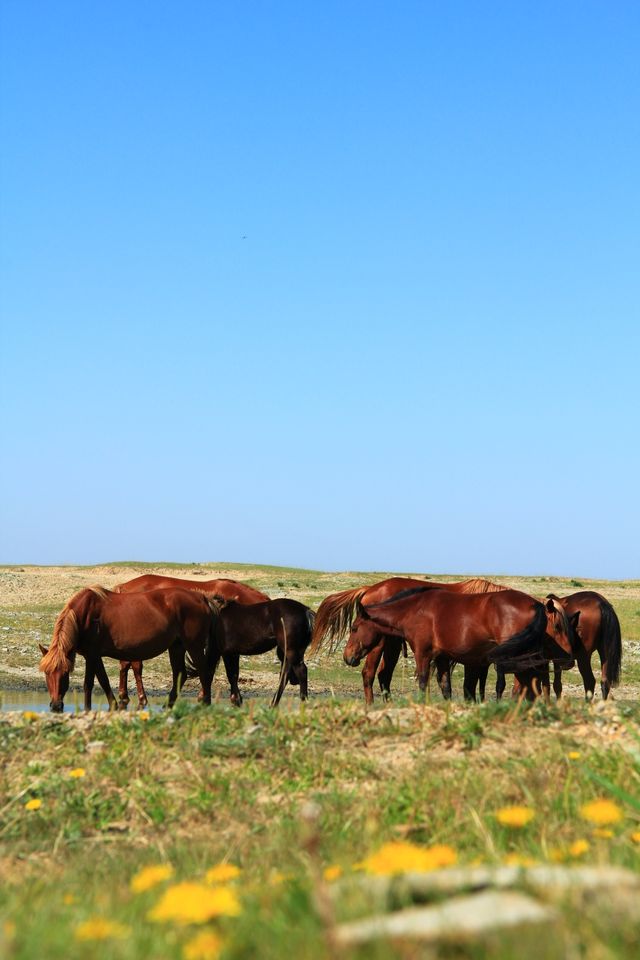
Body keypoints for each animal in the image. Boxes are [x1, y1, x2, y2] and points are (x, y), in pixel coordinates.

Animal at [38, 584, 214, 712]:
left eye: (65, 673)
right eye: (46, 673)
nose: (55, 706)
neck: (85, 616)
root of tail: (201, 597)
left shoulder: (93, 655)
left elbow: (96, 682)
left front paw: (107, 706)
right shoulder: (92, 656)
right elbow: (95, 682)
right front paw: (95, 708)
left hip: (194, 646)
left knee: (204, 672)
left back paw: (206, 703)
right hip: (176, 646)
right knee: (181, 674)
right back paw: (167, 705)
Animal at [112, 572, 268, 708]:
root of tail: (123, 587)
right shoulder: (226, 649)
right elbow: (229, 673)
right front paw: (233, 699)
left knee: (125, 665)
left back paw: (124, 696)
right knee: (136, 667)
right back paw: (141, 698)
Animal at [308, 576, 504, 704]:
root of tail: (369, 589)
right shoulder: (472, 661)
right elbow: (471, 687)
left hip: (392, 646)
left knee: (383, 675)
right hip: (379, 645)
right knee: (369, 673)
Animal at [342, 588, 572, 700]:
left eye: (354, 628)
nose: (347, 657)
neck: (414, 610)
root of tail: (536, 604)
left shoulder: (423, 654)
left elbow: (423, 683)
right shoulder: (442, 658)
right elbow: (446, 687)